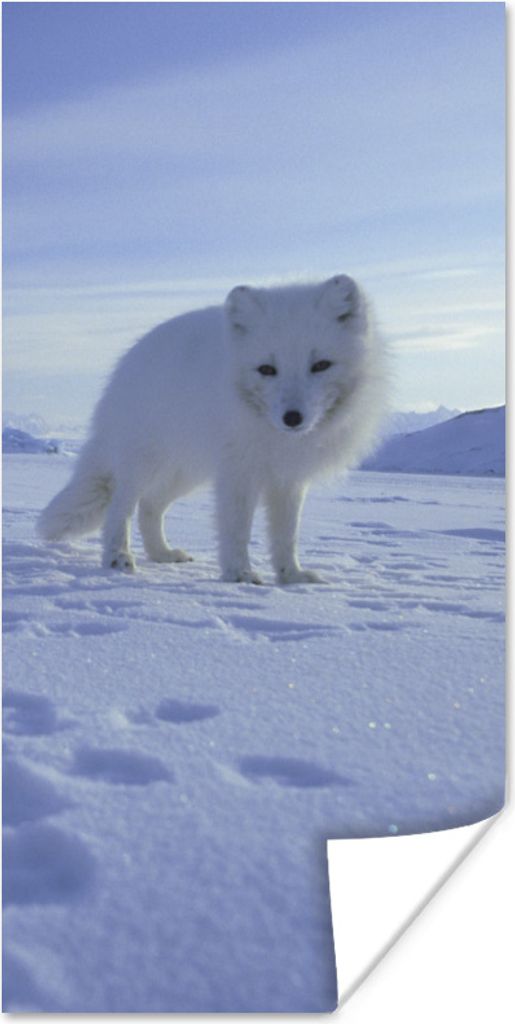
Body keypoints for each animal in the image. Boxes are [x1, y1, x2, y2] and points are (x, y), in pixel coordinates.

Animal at [38, 275, 387, 584]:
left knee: (150, 506)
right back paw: (118, 557)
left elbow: (286, 535)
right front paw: (239, 574)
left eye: (321, 365)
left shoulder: (288, 479)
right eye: (267, 369)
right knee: (120, 505)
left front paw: (291, 576)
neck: (273, 433)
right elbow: (237, 529)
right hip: (145, 462)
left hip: (185, 472)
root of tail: (128, 360)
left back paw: (161, 553)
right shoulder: (238, 473)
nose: (292, 417)